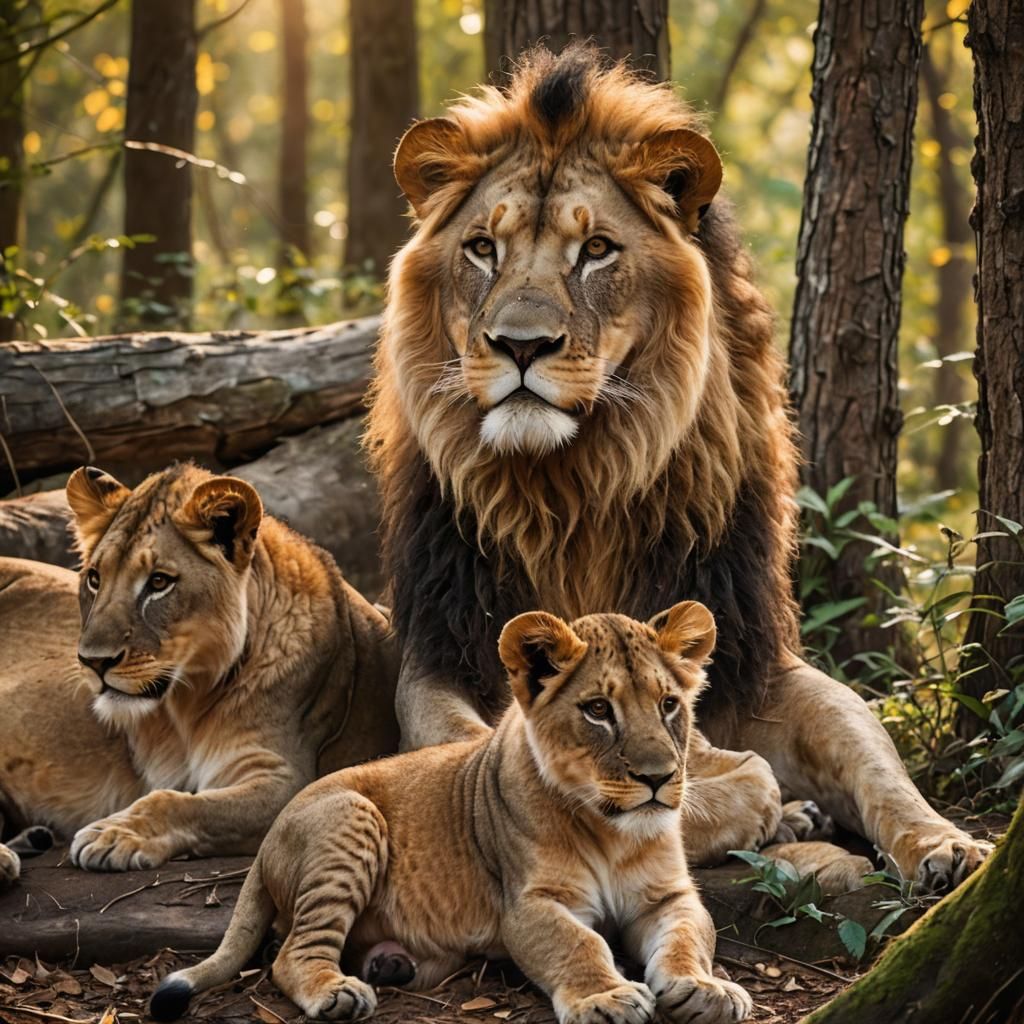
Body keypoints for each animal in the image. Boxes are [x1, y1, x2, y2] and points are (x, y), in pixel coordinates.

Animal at [0, 463, 399, 880]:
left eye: (159, 582)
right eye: (95, 579)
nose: (93, 661)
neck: (185, 704)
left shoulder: (289, 776)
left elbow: (179, 802)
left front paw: (112, 834)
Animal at [151, 602, 752, 1024]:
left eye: (668, 704)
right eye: (598, 710)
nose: (658, 779)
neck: (613, 832)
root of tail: (268, 839)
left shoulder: (667, 896)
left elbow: (689, 938)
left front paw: (706, 989)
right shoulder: (528, 905)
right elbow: (579, 943)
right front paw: (606, 997)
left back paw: (390, 963)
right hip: (351, 814)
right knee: (291, 953)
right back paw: (337, 991)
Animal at [364, 44, 991, 891]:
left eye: (596, 250)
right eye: (482, 249)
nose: (521, 346)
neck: (571, 491)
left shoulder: (749, 652)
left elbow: (862, 743)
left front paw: (940, 841)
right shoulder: (440, 656)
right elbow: (525, 764)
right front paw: (755, 802)